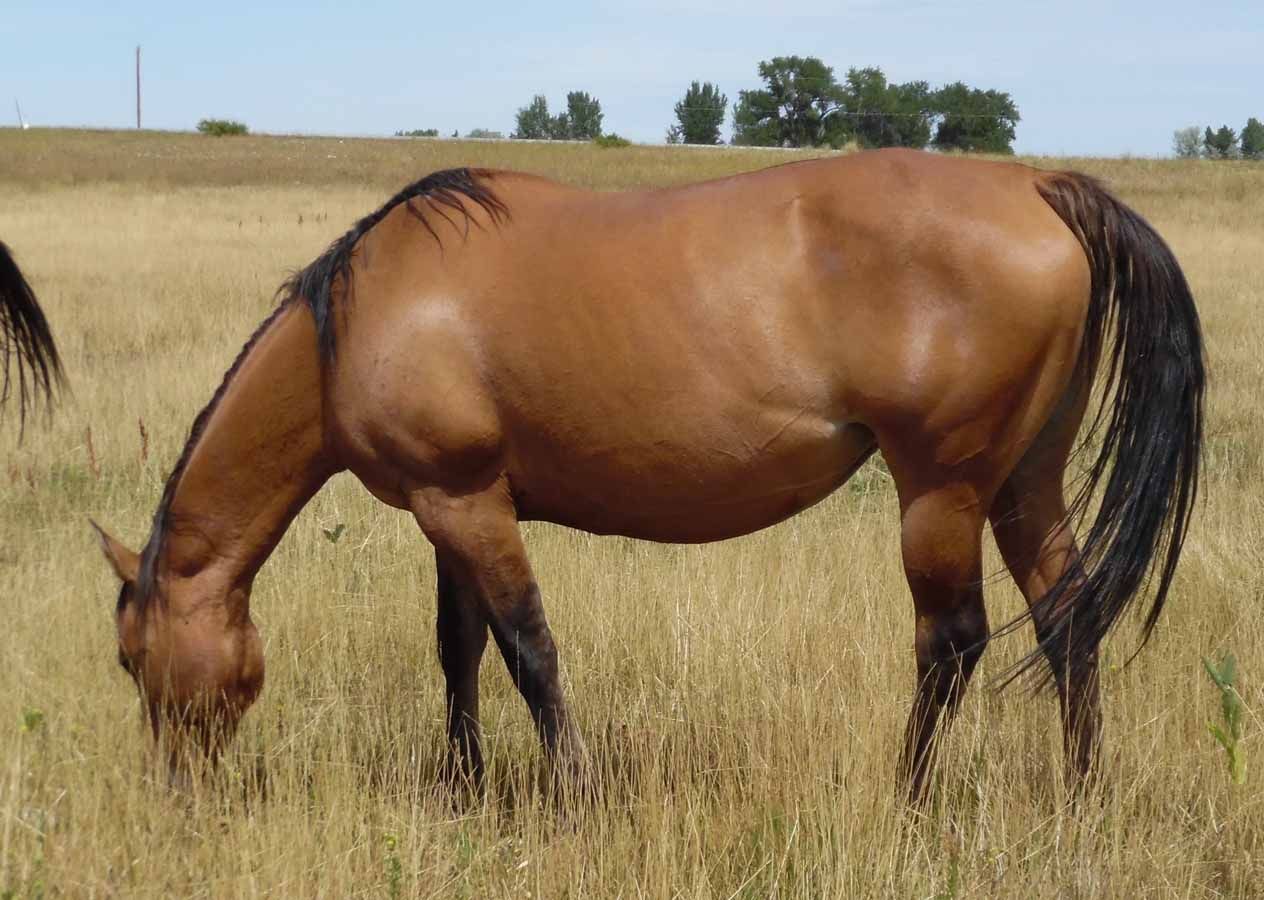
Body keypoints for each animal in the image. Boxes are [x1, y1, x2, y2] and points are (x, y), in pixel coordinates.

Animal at [91, 149, 1204, 802]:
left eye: (130, 660)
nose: (172, 792)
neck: (366, 317)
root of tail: (1041, 188)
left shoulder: (466, 503)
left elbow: (527, 650)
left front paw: (573, 794)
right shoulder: (446, 508)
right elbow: (459, 649)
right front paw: (463, 784)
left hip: (943, 488)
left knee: (953, 641)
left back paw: (908, 799)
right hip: (1024, 483)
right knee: (1066, 619)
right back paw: (1079, 796)